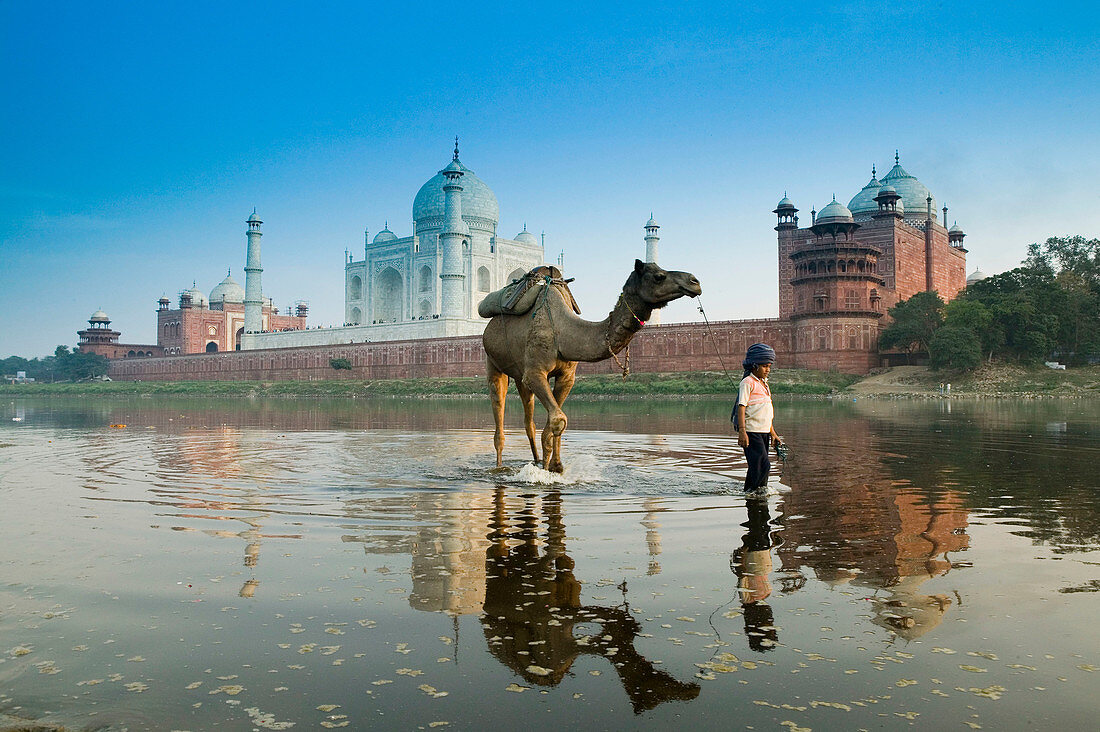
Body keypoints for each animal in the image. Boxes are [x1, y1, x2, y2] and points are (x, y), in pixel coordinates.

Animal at [484, 259, 704, 471]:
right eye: (659, 276)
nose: (694, 282)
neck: (564, 333)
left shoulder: (566, 376)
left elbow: (551, 426)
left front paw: (555, 467)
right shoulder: (535, 373)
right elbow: (558, 420)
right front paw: (546, 472)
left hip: (519, 374)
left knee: (528, 422)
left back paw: (535, 460)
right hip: (493, 363)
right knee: (499, 420)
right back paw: (499, 466)